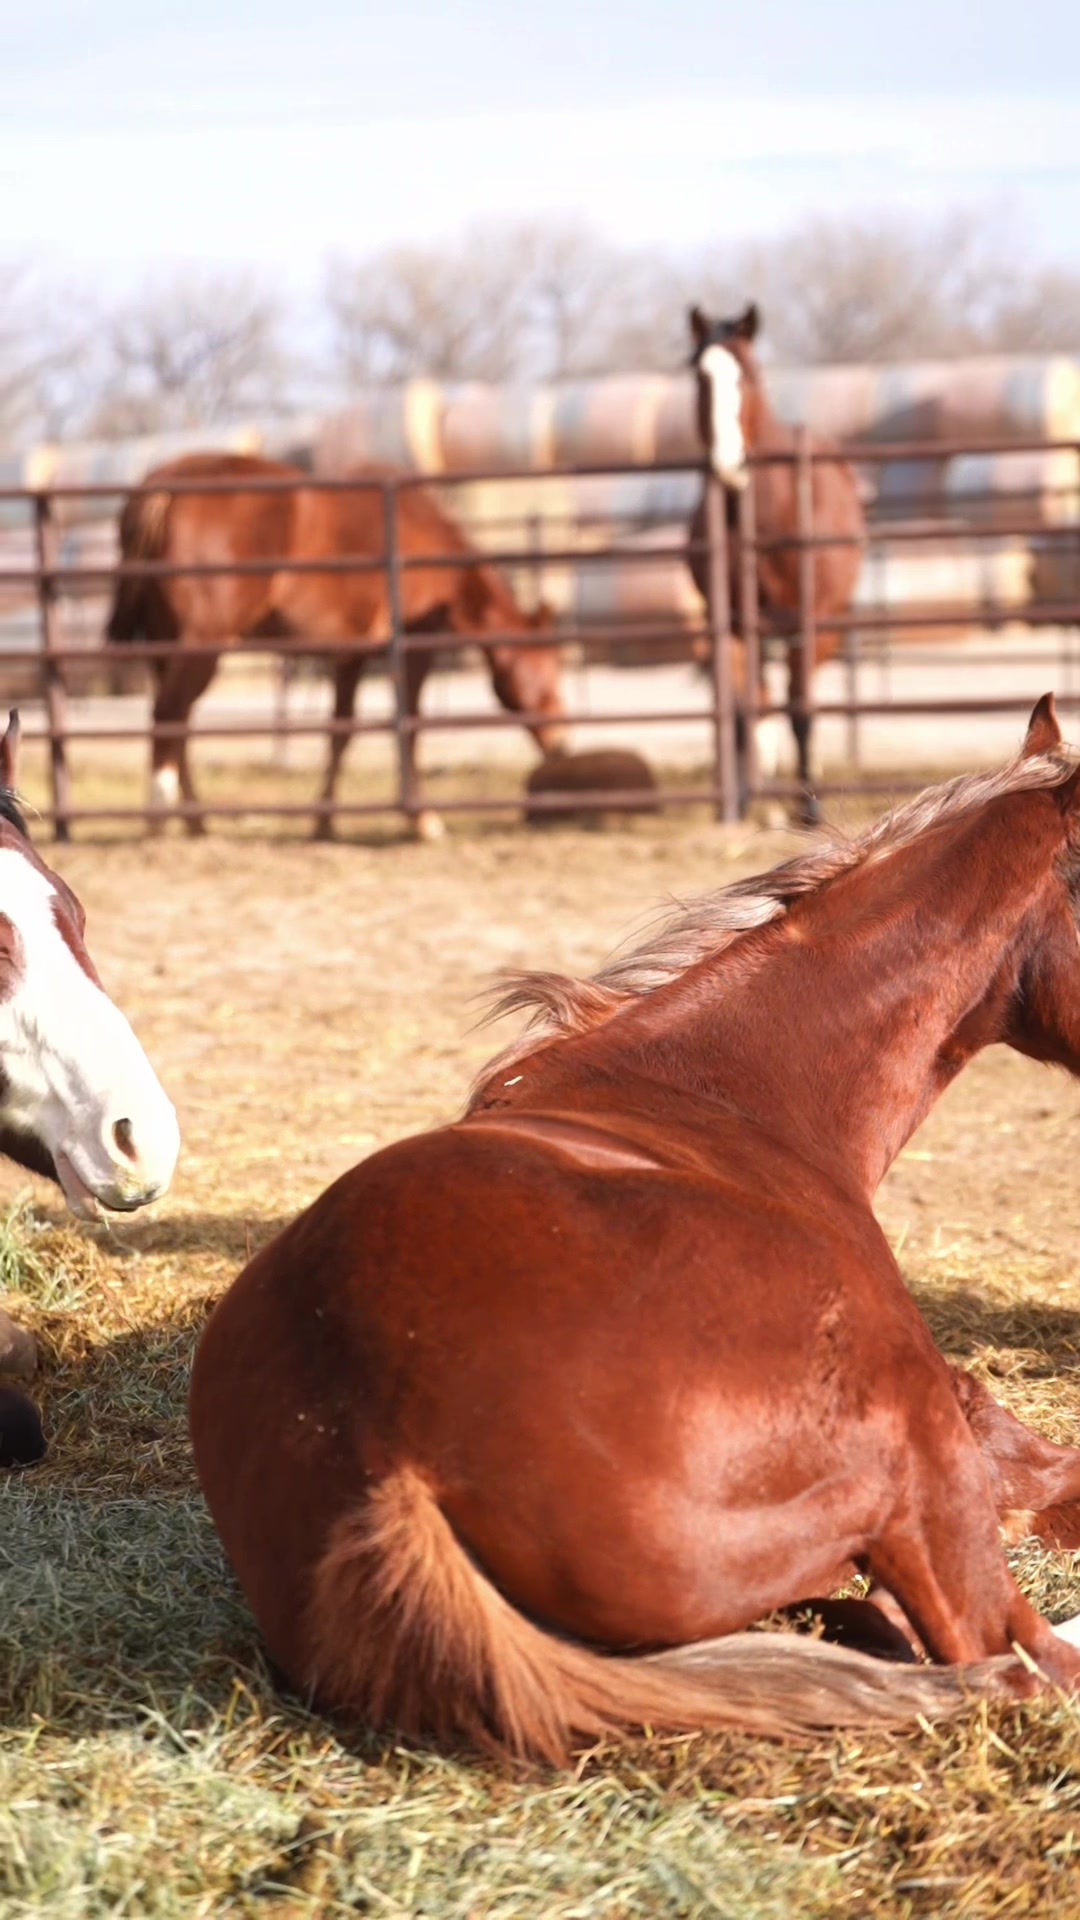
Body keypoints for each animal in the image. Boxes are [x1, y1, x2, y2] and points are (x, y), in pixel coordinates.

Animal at [105, 453, 568, 842]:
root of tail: (162, 487)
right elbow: (409, 730)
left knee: (178, 723)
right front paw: (424, 820)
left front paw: (324, 820)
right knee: (170, 714)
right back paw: (159, 816)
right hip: (202, 644)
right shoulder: (413, 652)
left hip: (166, 646)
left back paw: (195, 820)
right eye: (547, 673)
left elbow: (340, 732)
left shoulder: (351, 655)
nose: (561, 744)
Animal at [686, 303, 865, 822]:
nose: (727, 463)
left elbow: (801, 709)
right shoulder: (732, 624)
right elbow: (741, 711)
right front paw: (744, 801)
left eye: (745, 374)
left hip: (824, 625)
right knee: (761, 703)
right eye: (699, 375)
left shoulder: (807, 620)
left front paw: (810, 808)